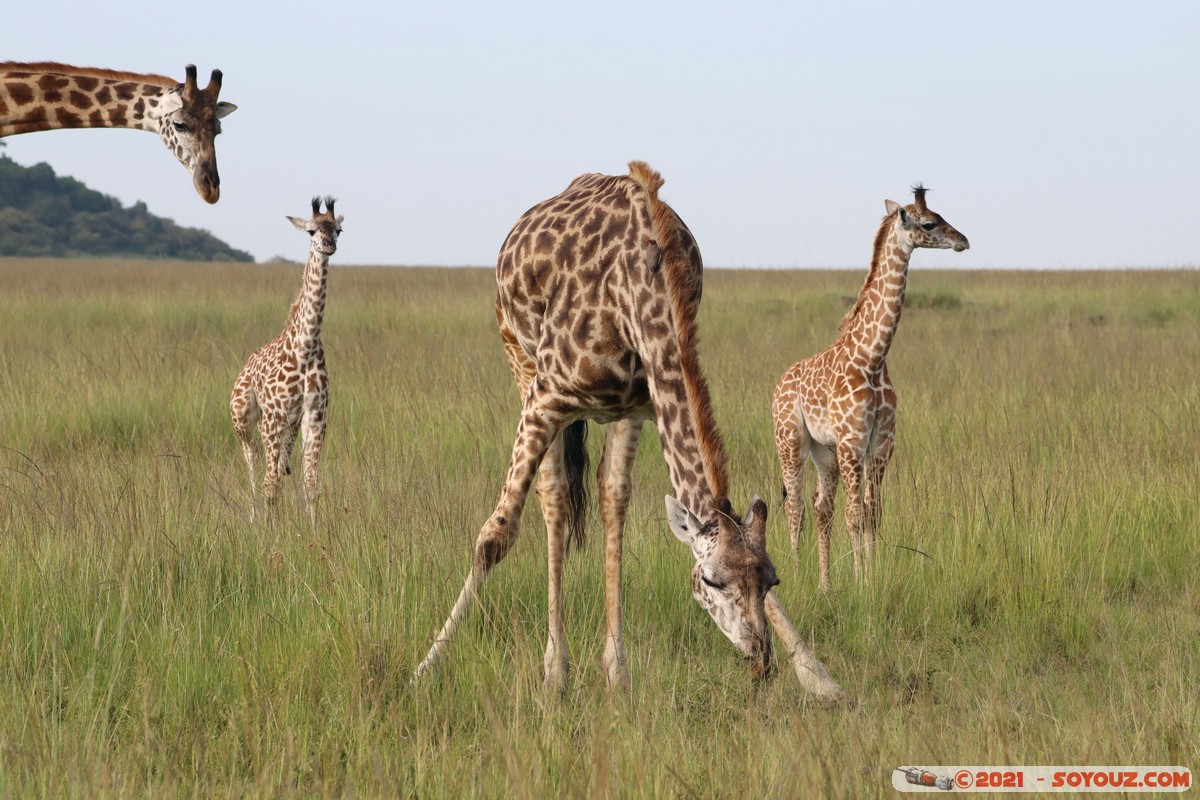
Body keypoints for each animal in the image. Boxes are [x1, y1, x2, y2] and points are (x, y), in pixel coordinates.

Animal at [230, 197, 343, 527]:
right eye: (310, 231)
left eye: (338, 230)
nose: (329, 245)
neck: (305, 347)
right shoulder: (273, 417)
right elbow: (272, 484)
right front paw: (270, 529)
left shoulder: (314, 416)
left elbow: (311, 484)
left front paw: (311, 529)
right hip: (244, 419)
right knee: (253, 461)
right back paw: (254, 515)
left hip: (289, 428)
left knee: (280, 466)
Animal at [415, 162, 844, 701]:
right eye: (711, 580)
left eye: (772, 580)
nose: (760, 662)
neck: (642, 291)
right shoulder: (546, 395)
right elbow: (496, 534)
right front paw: (426, 665)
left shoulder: (644, 404)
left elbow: (620, 503)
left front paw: (819, 676)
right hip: (518, 356)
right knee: (553, 495)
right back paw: (555, 671)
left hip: (613, 412)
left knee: (608, 496)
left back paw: (604, 669)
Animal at [771, 186, 969, 590]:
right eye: (930, 223)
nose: (963, 240)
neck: (873, 358)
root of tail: (780, 383)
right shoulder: (853, 441)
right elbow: (855, 515)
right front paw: (862, 582)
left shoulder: (880, 441)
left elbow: (873, 513)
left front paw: (871, 578)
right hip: (791, 441)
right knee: (795, 504)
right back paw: (796, 576)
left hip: (824, 451)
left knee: (820, 505)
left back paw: (825, 583)